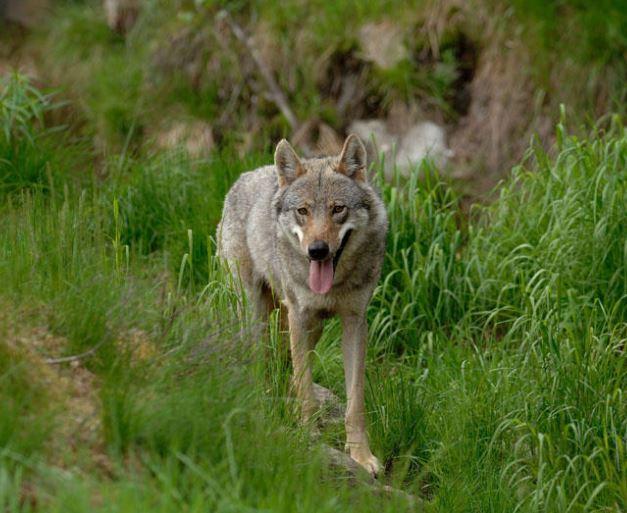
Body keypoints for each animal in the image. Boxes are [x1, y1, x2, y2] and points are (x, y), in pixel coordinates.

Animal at [218, 134, 390, 474]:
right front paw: (309, 438)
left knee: (283, 365)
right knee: (260, 361)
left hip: (311, 327)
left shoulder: (354, 322)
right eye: (303, 211)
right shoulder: (299, 316)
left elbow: (354, 401)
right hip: (256, 315)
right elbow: (306, 388)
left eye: (338, 209)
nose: (317, 250)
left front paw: (361, 456)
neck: (334, 285)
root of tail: (245, 176)